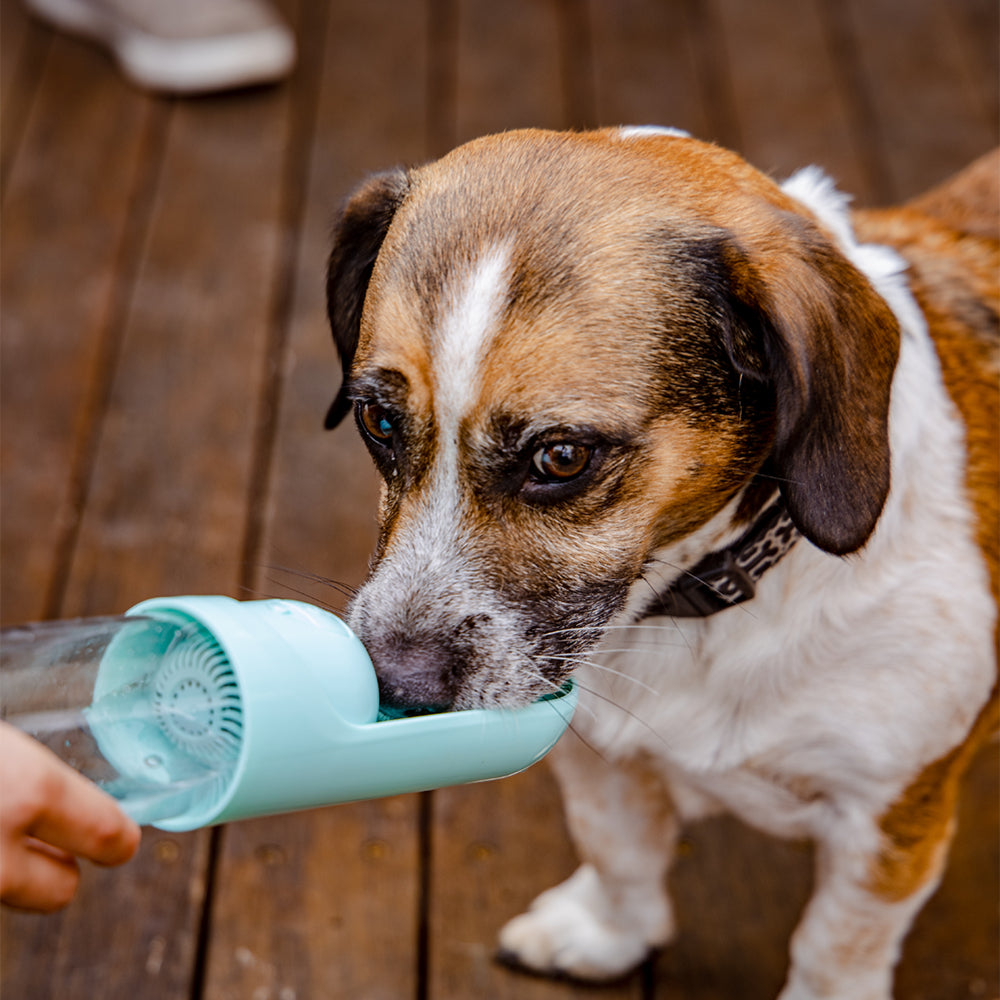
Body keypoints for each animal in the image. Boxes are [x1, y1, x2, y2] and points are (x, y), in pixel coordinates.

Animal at [324, 127, 996, 1000]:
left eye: (562, 456)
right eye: (377, 419)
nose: (398, 687)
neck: (705, 602)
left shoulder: (887, 820)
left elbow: (832, 949)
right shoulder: (598, 758)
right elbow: (619, 851)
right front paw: (609, 932)